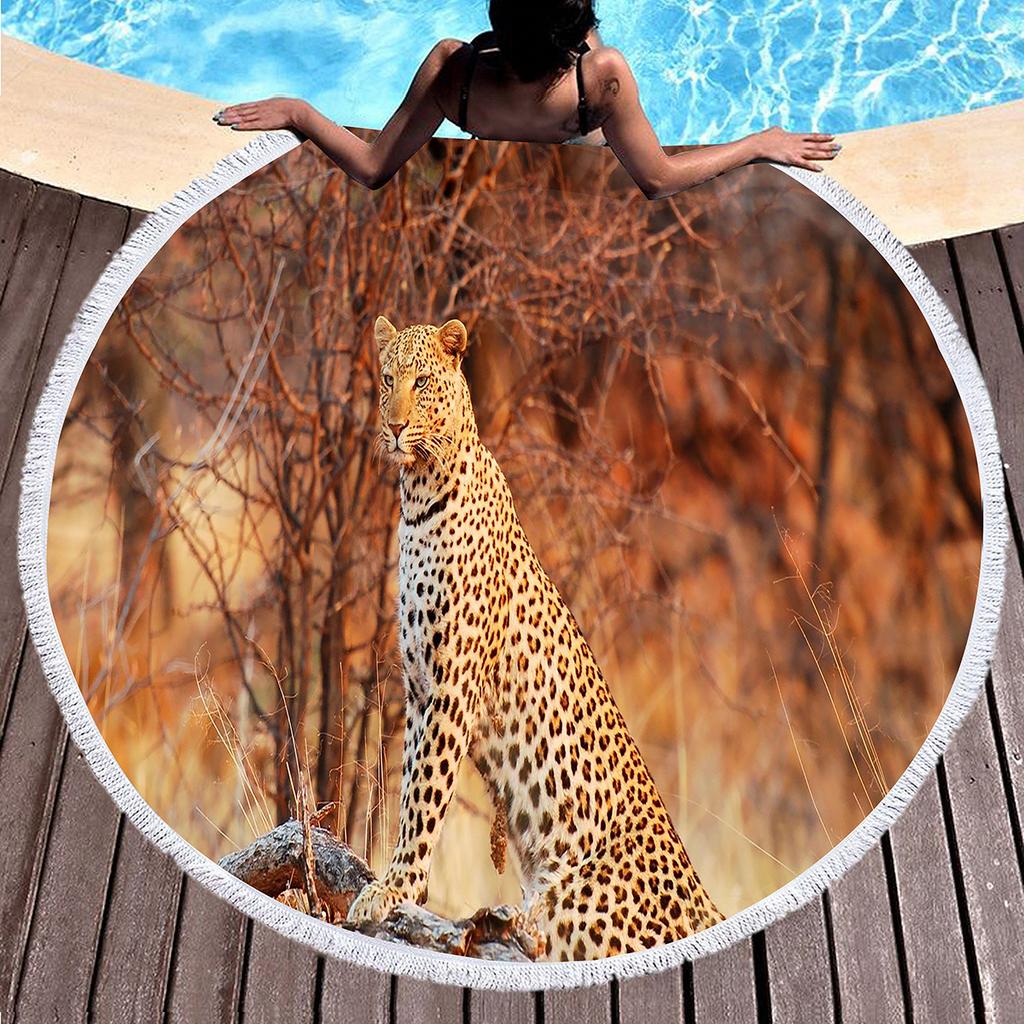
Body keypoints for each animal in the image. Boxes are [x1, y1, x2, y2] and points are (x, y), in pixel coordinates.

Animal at [346, 315, 724, 960]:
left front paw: (394, 889)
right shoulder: (419, 690)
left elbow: (424, 798)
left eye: (422, 383)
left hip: (578, 901)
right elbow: (409, 788)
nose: (393, 426)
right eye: (389, 379)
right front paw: (396, 881)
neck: (417, 497)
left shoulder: (451, 689)